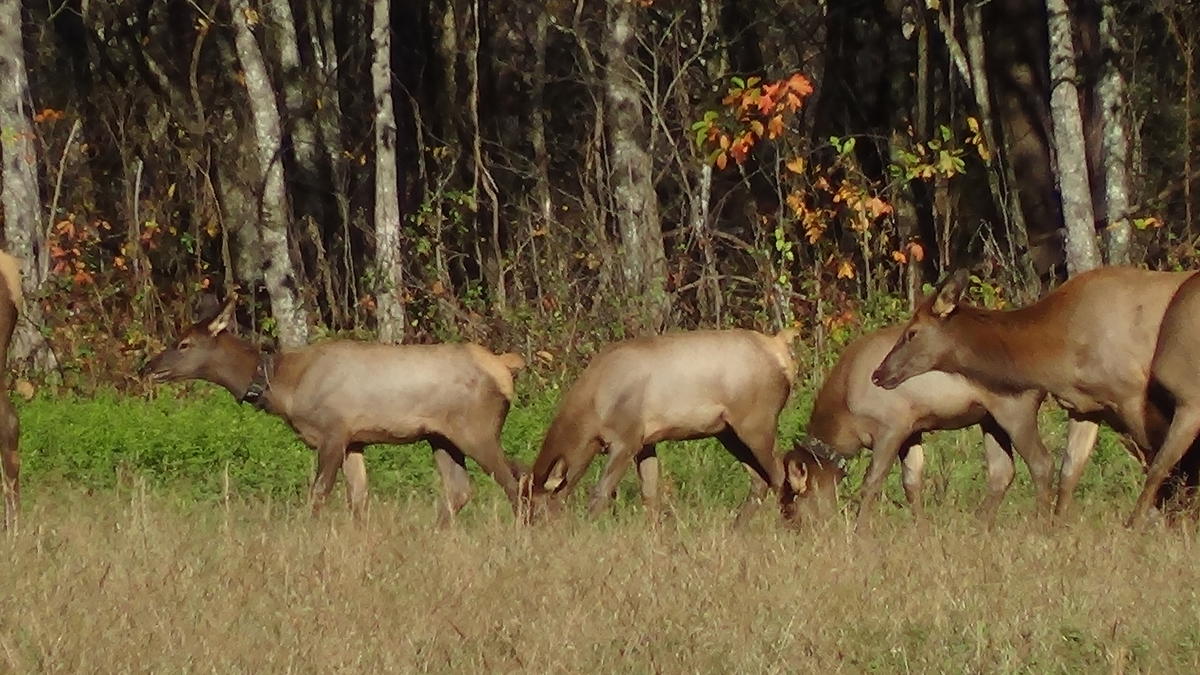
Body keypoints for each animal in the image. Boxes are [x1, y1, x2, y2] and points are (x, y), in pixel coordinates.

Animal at [142, 294, 528, 521]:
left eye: (184, 343)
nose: (147, 366)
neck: (284, 387)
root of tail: (505, 366)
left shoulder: (332, 431)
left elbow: (318, 495)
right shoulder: (354, 440)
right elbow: (358, 499)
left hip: (476, 429)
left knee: (516, 482)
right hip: (441, 436)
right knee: (461, 489)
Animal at [523, 326, 796, 521]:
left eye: (536, 508)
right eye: (520, 505)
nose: (528, 533)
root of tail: (780, 350)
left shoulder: (627, 438)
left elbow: (600, 492)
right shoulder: (646, 443)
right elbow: (650, 495)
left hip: (756, 422)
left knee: (780, 474)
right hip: (727, 431)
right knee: (760, 479)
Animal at [792, 321, 1056, 526]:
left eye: (792, 496)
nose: (792, 526)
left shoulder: (890, 428)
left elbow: (872, 482)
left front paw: (861, 532)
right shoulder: (911, 431)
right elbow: (911, 482)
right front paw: (921, 530)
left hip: (1014, 409)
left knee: (1041, 462)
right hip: (990, 418)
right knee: (1002, 470)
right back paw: (979, 525)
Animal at [873, 265, 1200, 511]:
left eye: (911, 333)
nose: (878, 374)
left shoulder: (1133, 396)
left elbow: (1163, 466)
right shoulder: (1085, 407)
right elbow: (1069, 474)